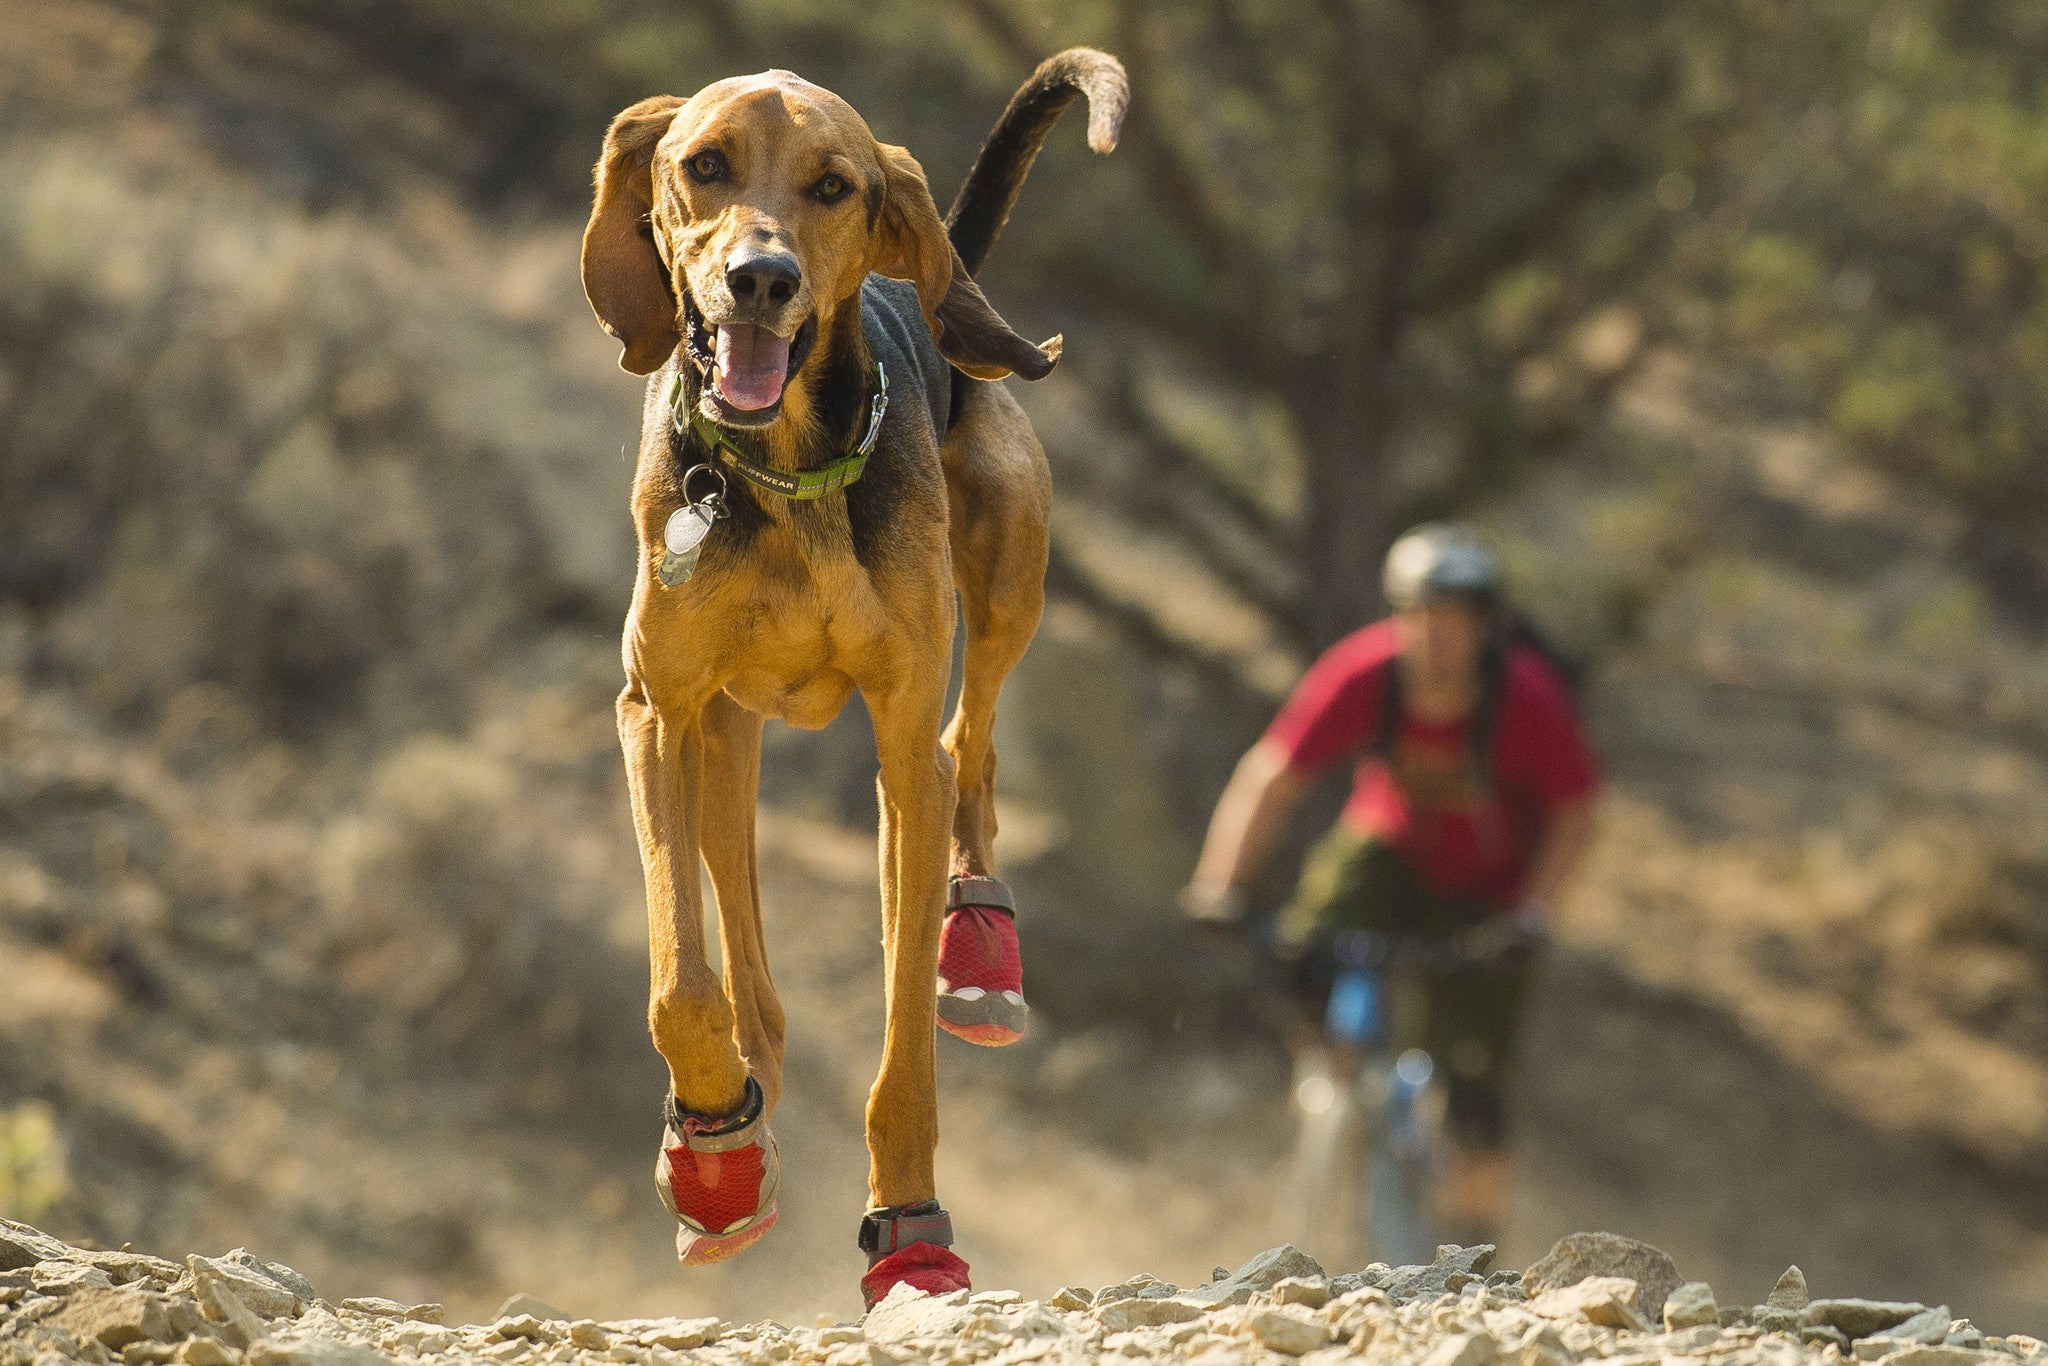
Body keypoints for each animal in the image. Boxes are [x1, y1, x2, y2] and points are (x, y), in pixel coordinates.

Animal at [577, 48, 1130, 1302]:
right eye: (704, 164)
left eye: (833, 185)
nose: (761, 278)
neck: (779, 472)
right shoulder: (654, 712)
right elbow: (683, 984)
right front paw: (714, 1148)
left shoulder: (898, 743)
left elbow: (902, 1056)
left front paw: (910, 1229)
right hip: (723, 739)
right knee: (754, 976)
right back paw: (734, 1123)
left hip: (1006, 577)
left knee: (971, 751)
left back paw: (977, 945)